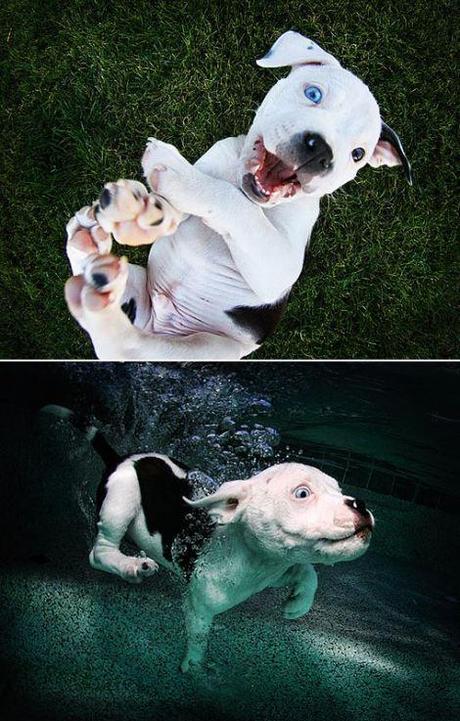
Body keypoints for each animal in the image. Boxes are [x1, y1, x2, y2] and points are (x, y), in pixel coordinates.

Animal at [43, 404, 374, 668]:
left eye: (340, 489)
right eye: (302, 493)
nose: (360, 503)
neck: (255, 559)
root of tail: (120, 457)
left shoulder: (276, 564)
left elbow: (307, 570)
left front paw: (298, 604)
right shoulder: (199, 604)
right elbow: (199, 633)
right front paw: (195, 666)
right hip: (121, 498)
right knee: (99, 551)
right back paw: (131, 566)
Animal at [63, 31, 410, 360]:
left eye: (357, 154)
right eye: (313, 93)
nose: (322, 152)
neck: (243, 184)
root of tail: (157, 322)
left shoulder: (279, 267)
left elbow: (236, 204)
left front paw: (177, 175)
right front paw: (145, 209)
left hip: (209, 348)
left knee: (125, 345)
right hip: (134, 284)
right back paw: (87, 243)